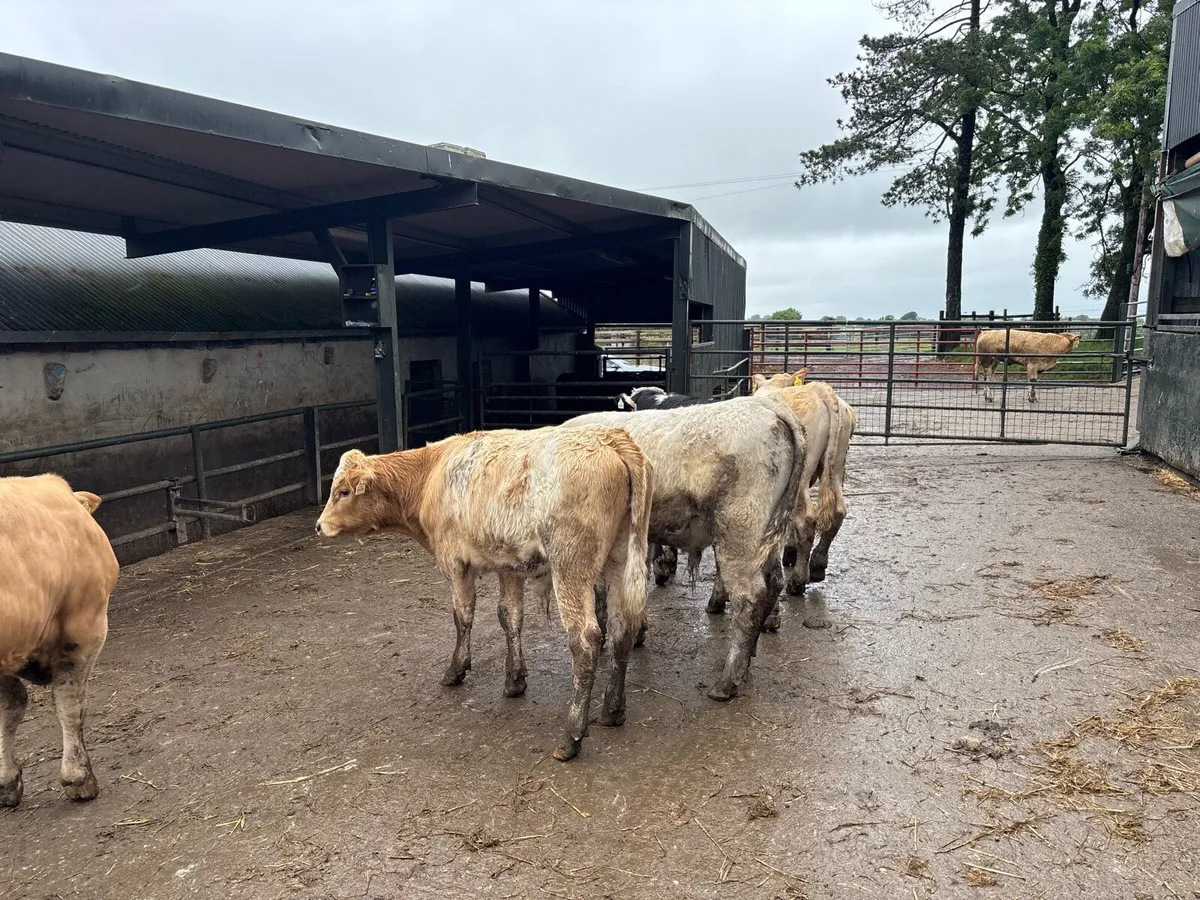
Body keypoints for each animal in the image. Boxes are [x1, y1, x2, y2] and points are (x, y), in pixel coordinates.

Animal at [315, 427, 652, 762]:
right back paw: (613, 709)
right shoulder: (509, 565)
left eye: (343, 492)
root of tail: (608, 438)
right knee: (622, 629)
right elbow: (510, 617)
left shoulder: (456, 563)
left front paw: (456, 669)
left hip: (570, 567)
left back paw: (572, 736)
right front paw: (515, 679)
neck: (430, 473)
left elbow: (463, 616)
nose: (319, 526)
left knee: (586, 640)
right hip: (620, 561)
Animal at [563, 396, 806, 700]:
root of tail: (766, 406)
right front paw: (639, 631)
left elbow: (601, 593)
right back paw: (747, 661)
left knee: (749, 598)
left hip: (739, 529)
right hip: (766, 535)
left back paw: (727, 682)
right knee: (774, 583)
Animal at [750, 371, 857, 615]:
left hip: (805, 470)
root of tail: (821, 390)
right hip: (837, 465)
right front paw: (790, 550)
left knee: (808, 518)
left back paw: (797, 582)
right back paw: (817, 565)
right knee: (838, 511)